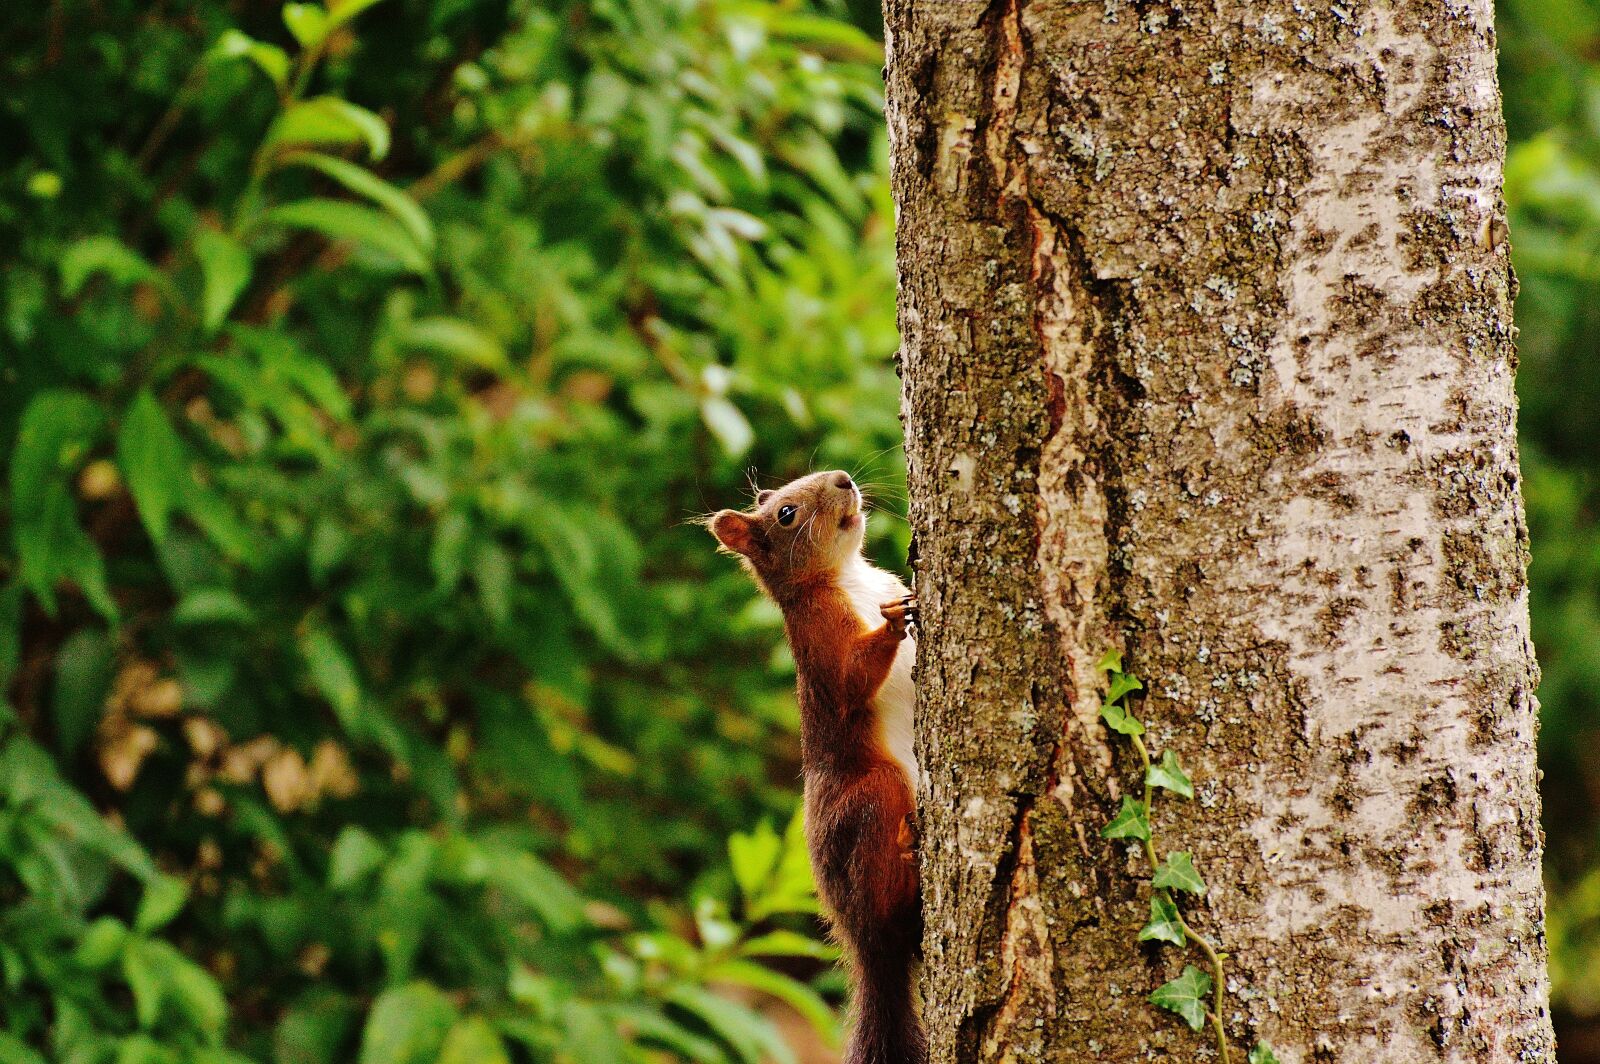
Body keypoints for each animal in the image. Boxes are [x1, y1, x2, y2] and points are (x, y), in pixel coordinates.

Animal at [708, 470, 925, 1064]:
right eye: (786, 514)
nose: (844, 478)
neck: (852, 576)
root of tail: (866, 949)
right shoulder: (819, 630)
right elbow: (851, 678)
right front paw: (894, 621)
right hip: (872, 795)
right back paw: (909, 852)